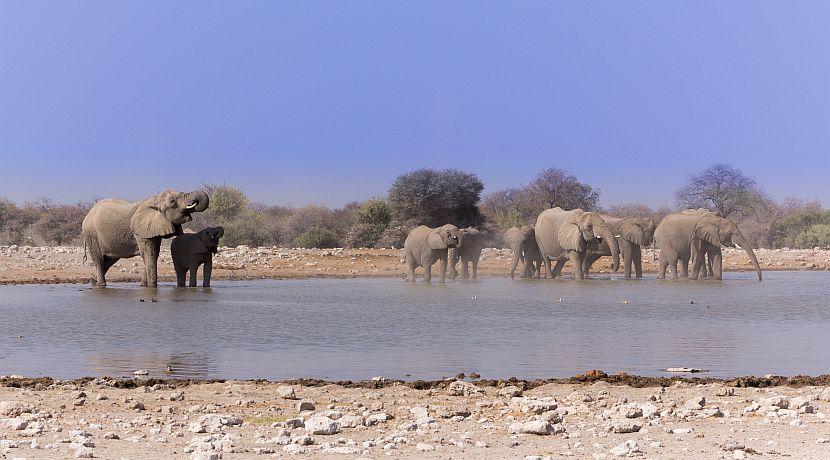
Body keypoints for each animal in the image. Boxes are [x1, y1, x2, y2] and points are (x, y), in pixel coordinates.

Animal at [82, 189, 210, 287]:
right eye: (172, 201)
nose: (193, 202)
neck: (154, 199)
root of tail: (88, 214)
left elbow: (154, 253)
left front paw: (144, 286)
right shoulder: (140, 230)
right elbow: (149, 254)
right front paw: (152, 287)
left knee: (109, 260)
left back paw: (93, 281)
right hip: (91, 234)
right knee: (99, 259)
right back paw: (101, 285)